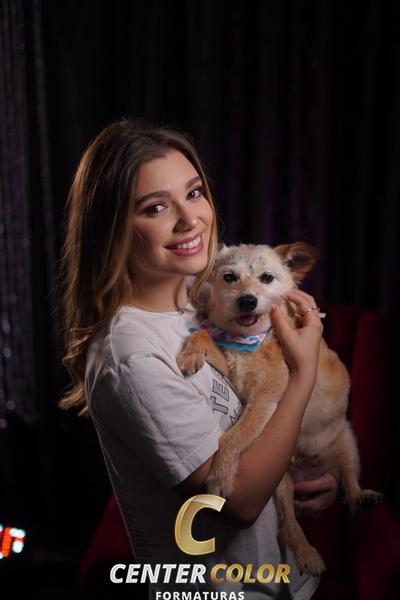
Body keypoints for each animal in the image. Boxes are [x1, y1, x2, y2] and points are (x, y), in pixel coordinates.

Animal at [176, 242, 382, 575]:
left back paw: (361, 498)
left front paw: (220, 476)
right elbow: (204, 333)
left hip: (348, 445)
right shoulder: (235, 377)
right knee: (288, 525)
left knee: (348, 488)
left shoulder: (265, 399)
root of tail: (309, 473)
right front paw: (190, 353)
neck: (249, 341)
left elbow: (232, 437)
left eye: (267, 278)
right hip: (280, 484)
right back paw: (309, 554)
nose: (247, 300)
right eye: (230, 277)